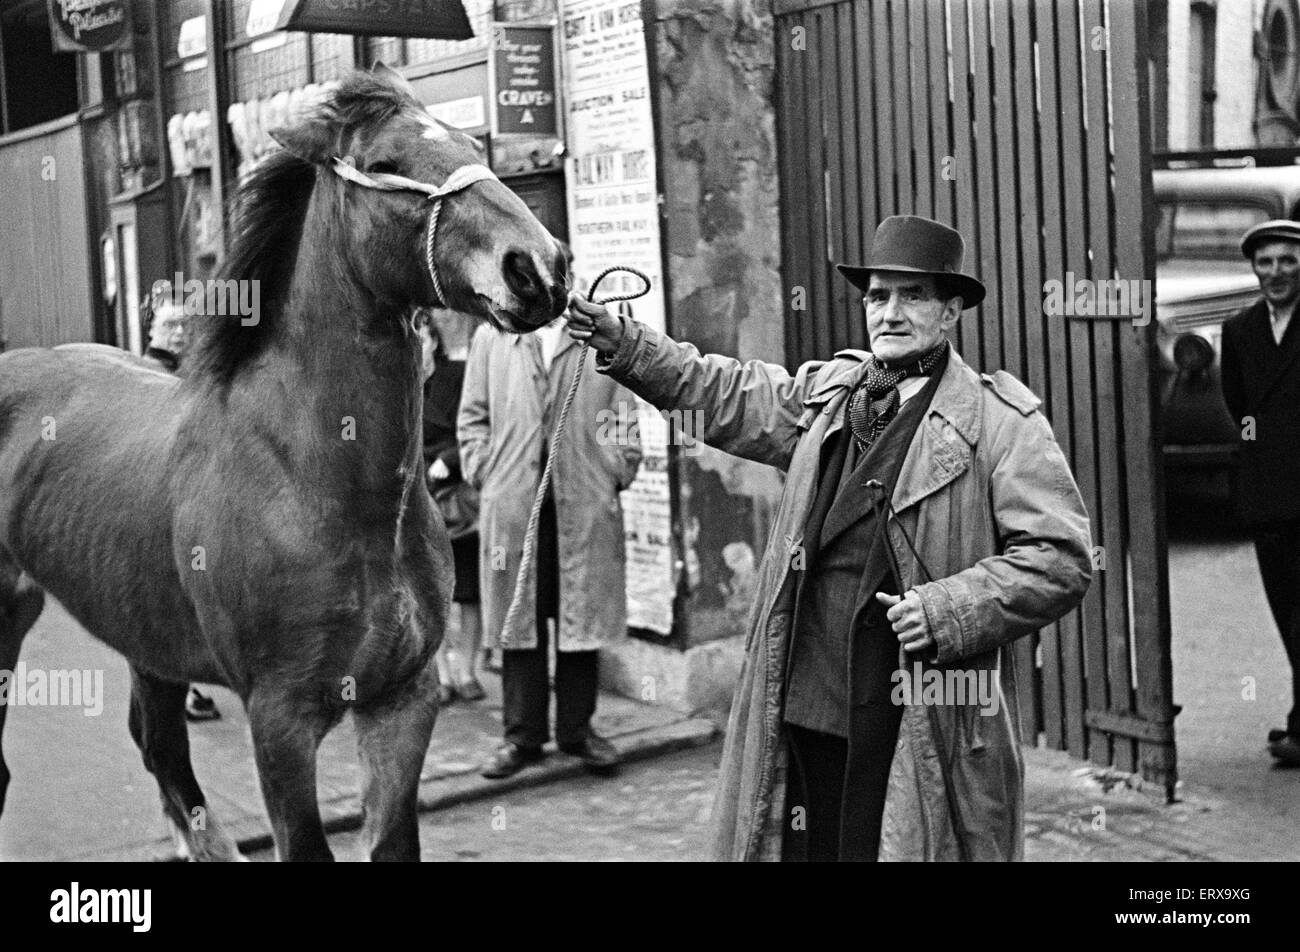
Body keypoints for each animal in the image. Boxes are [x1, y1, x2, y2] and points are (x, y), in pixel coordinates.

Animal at [0, 66, 569, 863]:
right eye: (387, 162)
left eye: (472, 144)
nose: (539, 266)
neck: (318, 488)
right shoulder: (281, 723)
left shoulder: (401, 703)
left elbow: (393, 841)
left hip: (144, 632)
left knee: (159, 746)